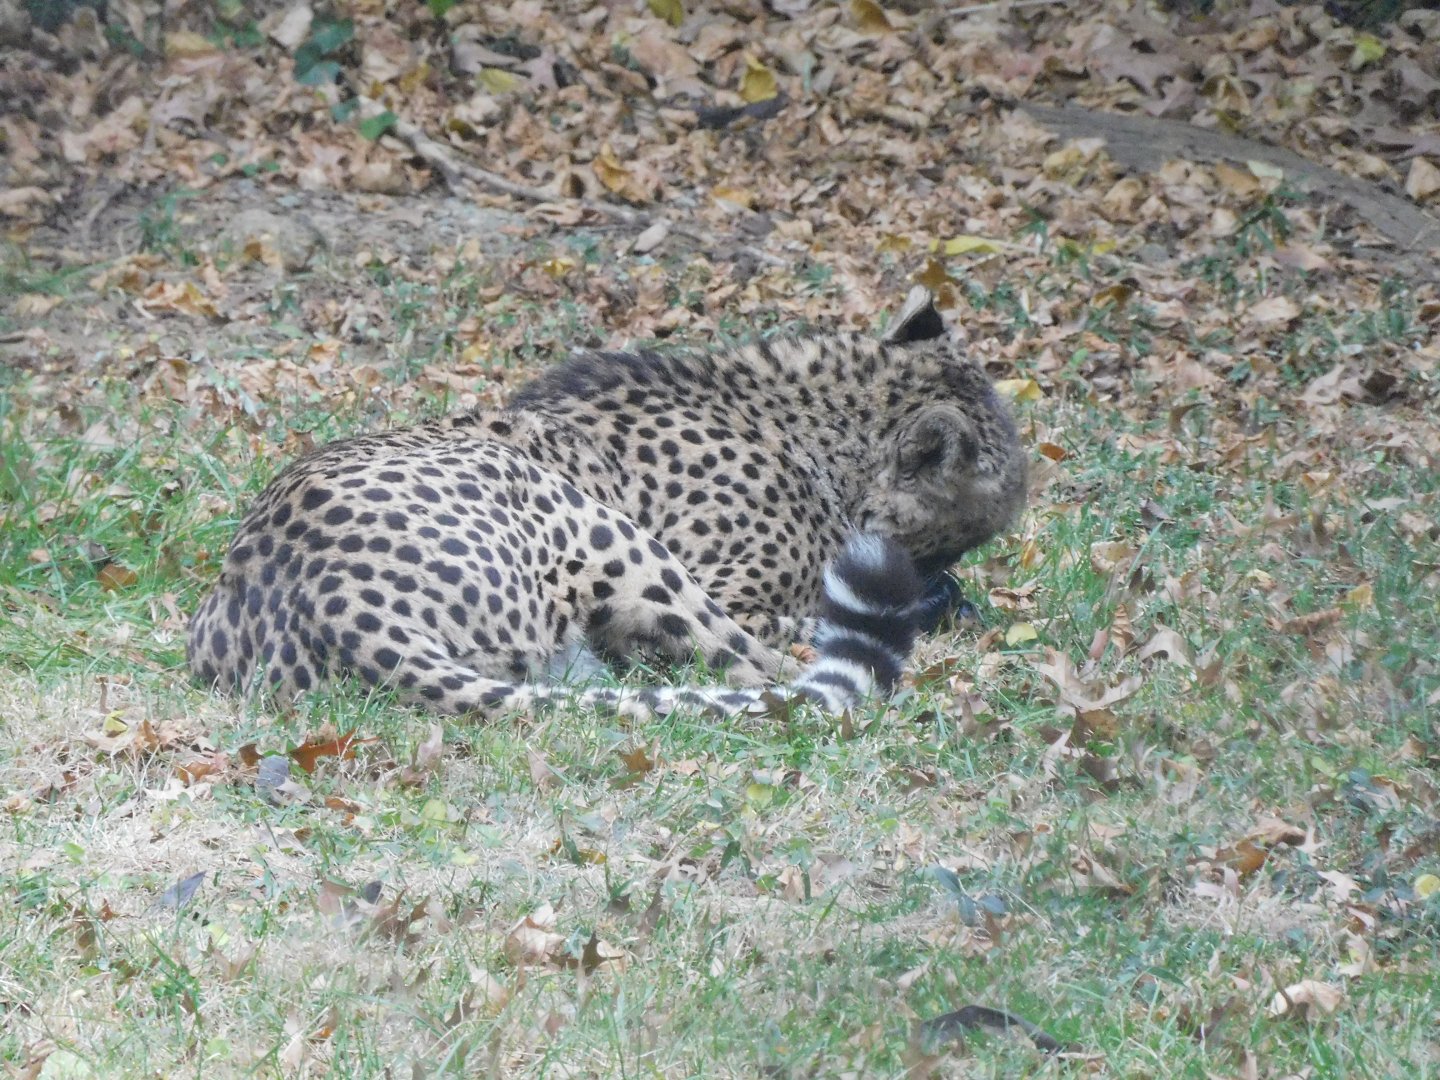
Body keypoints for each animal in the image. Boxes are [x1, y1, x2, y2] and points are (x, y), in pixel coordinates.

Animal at [187, 287, 1027, 719]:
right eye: (963, 537)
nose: (942, 574)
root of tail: (331, 609)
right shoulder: (732, 587)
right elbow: (789, 627)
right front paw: (946, 607)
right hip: (584, 519)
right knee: (769, 676)